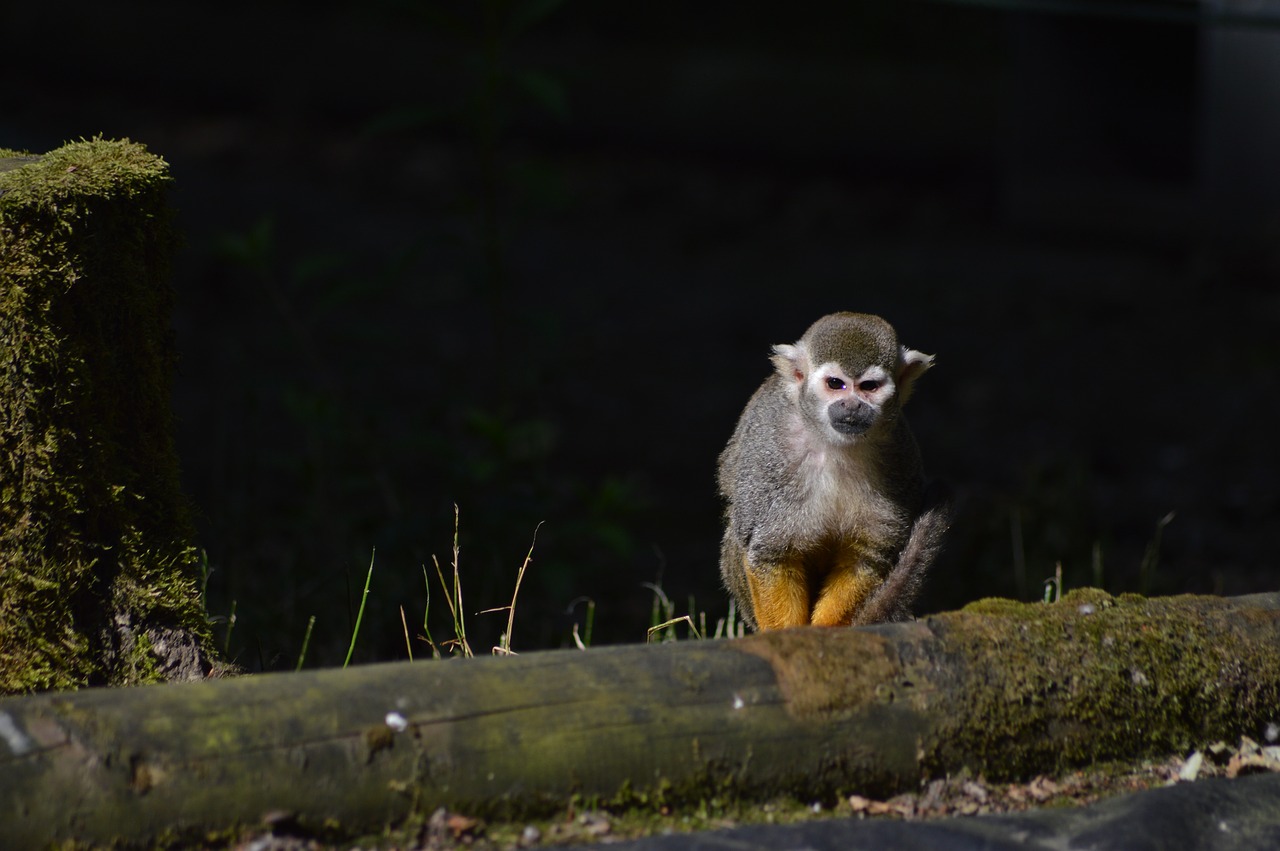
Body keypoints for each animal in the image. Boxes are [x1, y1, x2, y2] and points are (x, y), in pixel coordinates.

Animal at [721, 312, 952, 629]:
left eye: (868, 387)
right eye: (835, 384)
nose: (852, 406)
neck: (834, 445)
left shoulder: (899, 454)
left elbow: (866, 556)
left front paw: (825, 631)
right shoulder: (770, 453)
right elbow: (771, 553)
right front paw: (788, 634)